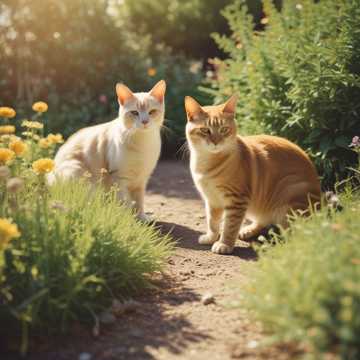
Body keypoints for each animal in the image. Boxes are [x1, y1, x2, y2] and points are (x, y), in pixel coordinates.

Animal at [47, 80, 166, 221]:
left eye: (152, 112)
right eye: (135, 113)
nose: (145, 121)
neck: (143, 142)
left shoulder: (141, 181)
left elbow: (139, 202)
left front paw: (141, 218)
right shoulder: (119, 179)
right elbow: (125, 203)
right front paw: (127, 221)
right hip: (81, 175)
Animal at [186, 94, 320, 255]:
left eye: (224, 129)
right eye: (205, 130)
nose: (216, 142)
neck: (206, 163)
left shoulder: (237, 200)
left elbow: (230, 226)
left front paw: (224, 244)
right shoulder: (212, 200)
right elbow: (212, 222)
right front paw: (211, 237)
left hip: (288, 194)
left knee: (299, 234)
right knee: (263, 220)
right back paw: (247, 230)